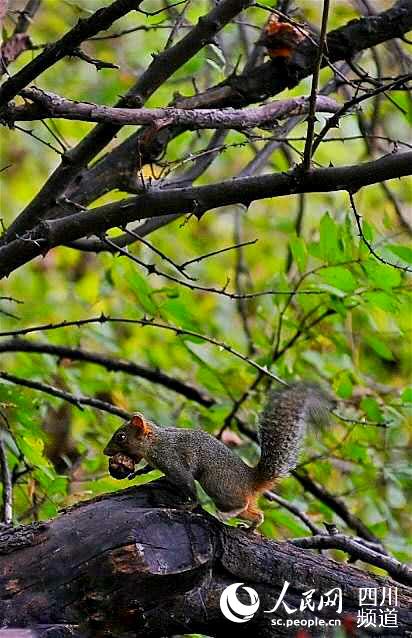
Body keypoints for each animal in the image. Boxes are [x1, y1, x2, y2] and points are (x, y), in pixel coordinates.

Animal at [104, 383, 334, 529]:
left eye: (121, 437)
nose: (106, 452)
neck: (155, 441)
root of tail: (251, 479)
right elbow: (150, 468)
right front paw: (139, 472)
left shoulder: (171, 460)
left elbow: (188, 484)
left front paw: (189, 505)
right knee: (257, 514)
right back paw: (250, 527)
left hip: (217, 484)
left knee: (238, 504)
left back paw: (225, 514)